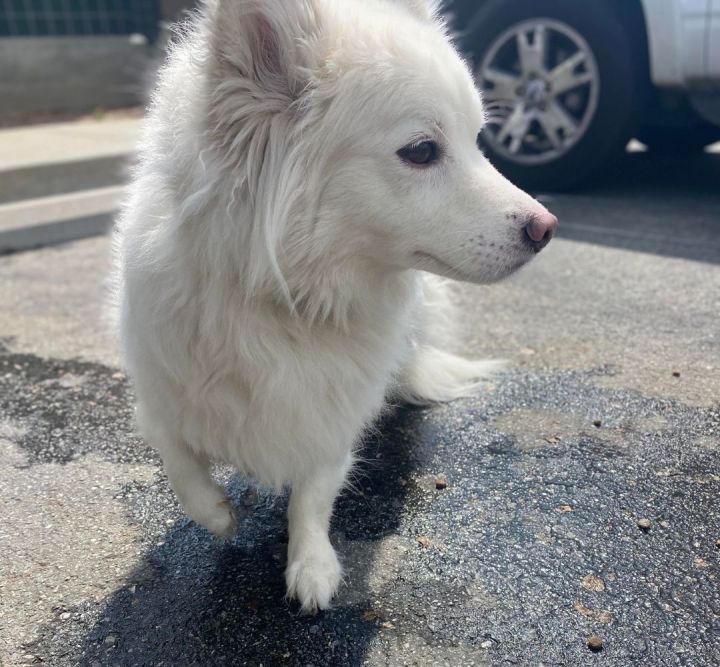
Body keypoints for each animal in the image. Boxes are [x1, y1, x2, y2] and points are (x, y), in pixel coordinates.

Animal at [115, 0, 560, 612]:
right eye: (422, 151)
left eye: (477, 141)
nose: (547, 228)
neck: (294, 299)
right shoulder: (159, 393)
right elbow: (178, 460)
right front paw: (219, 516)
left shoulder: (333, 414)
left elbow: (314, 492)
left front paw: (311, 565)